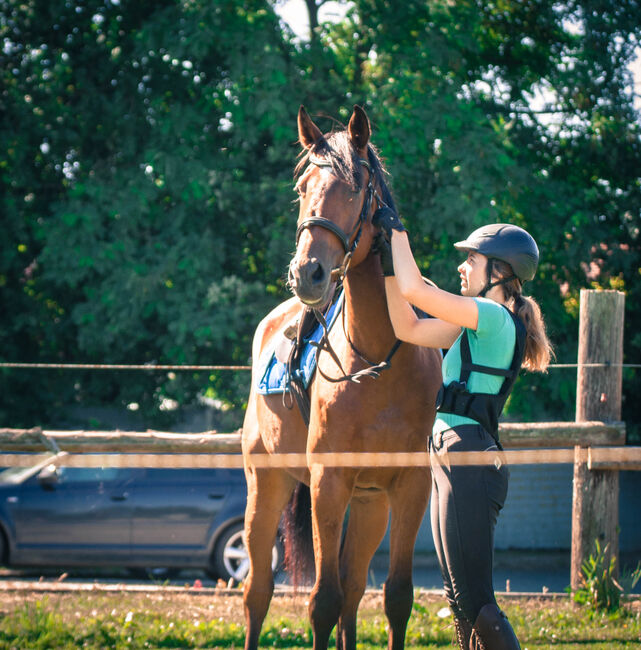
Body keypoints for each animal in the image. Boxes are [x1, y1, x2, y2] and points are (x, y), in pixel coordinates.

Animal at [240, 104, 440, 644]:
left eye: (355, 188)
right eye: (303, 186)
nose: (306, 273)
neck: (374, 361)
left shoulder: (408, 488)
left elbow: (395, 597)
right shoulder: (327, 484)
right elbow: (322, 603)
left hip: (368, 503)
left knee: (352, 588)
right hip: (265, 486)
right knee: (257, 594)